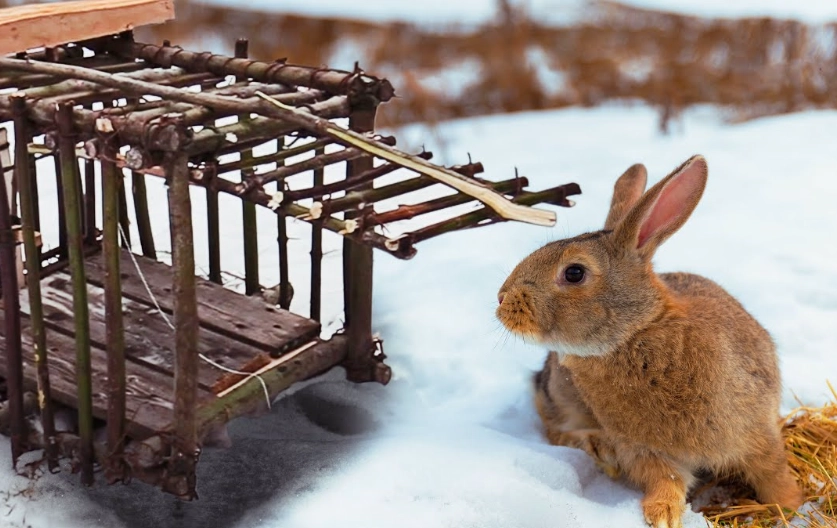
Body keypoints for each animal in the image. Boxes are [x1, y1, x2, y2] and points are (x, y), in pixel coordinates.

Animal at [497, 156, 803, 528]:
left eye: (574, 273)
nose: (501, 299)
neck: (636, 333)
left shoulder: (756, 430)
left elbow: (772, 472)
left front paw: (793, 506)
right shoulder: (643, 449)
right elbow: (664, 479)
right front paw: (662, 514)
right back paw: (598, 449)